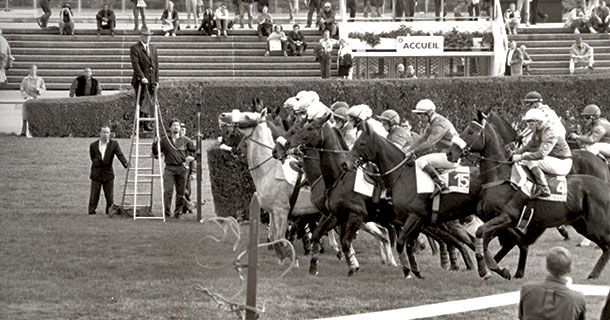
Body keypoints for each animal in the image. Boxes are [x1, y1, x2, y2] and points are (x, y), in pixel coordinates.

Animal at [444, 111, 608, 278]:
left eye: (470, 131)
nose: (449, 153)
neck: (501, 176)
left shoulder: (507, 217)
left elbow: (481, 232)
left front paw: (490, 269)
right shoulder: (496, 220)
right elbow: (484, 241)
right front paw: (496, 269)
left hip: (595, 225)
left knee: (607, 245)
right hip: (582, 224)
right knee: (605, 247)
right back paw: (592, 275)